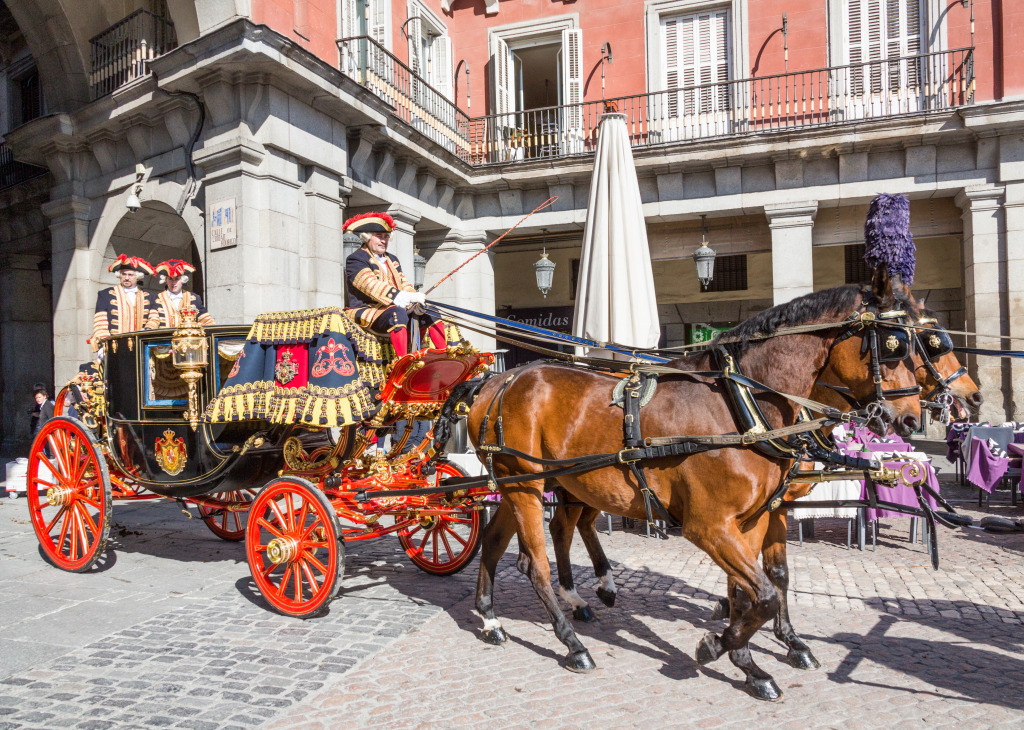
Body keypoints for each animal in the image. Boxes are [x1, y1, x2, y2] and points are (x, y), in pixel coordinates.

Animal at [468, 282, 925, 696]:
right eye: (895, 345)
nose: (912, 418)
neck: (741, 404)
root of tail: (497, 381)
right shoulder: (709, 526)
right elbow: (763, 595)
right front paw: (718, 646)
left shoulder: (754, 519)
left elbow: (753, 590)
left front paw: (748, 663)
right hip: (526, 486)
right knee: (536, 564)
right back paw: (572, 642)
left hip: (528, 485)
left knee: (499, 540)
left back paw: (492, 617)